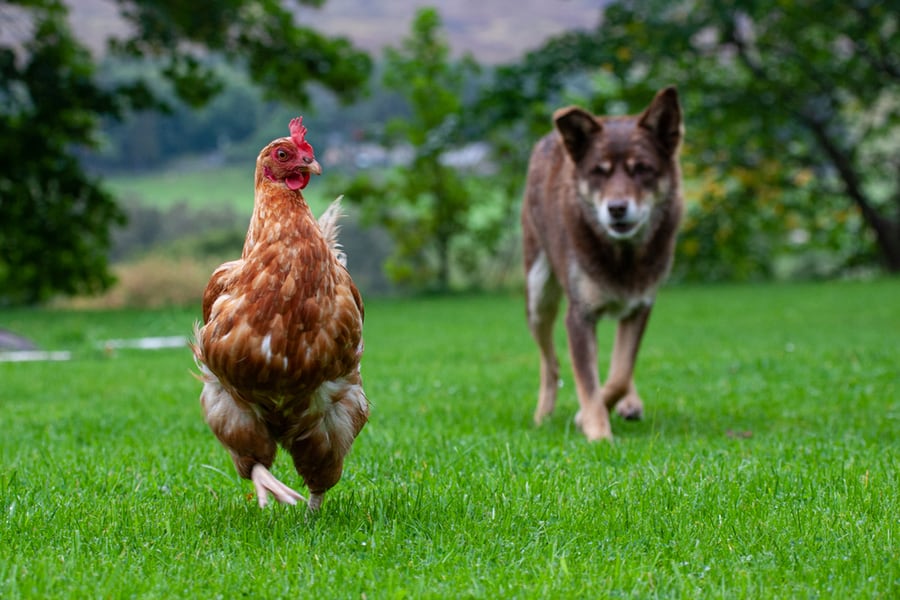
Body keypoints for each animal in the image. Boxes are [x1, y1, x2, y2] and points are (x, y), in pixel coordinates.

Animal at [520, 85, 684, 440]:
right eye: (599, 171)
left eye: (642, 169)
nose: (617, 208)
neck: (621, 255)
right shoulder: (578, 315)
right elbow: (589, 381)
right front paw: (597, 432)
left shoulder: (640, 307)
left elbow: (620, 372)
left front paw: (595, 414)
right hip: (538, 295)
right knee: (550, 362)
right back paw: (542, 414)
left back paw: (629, 403)